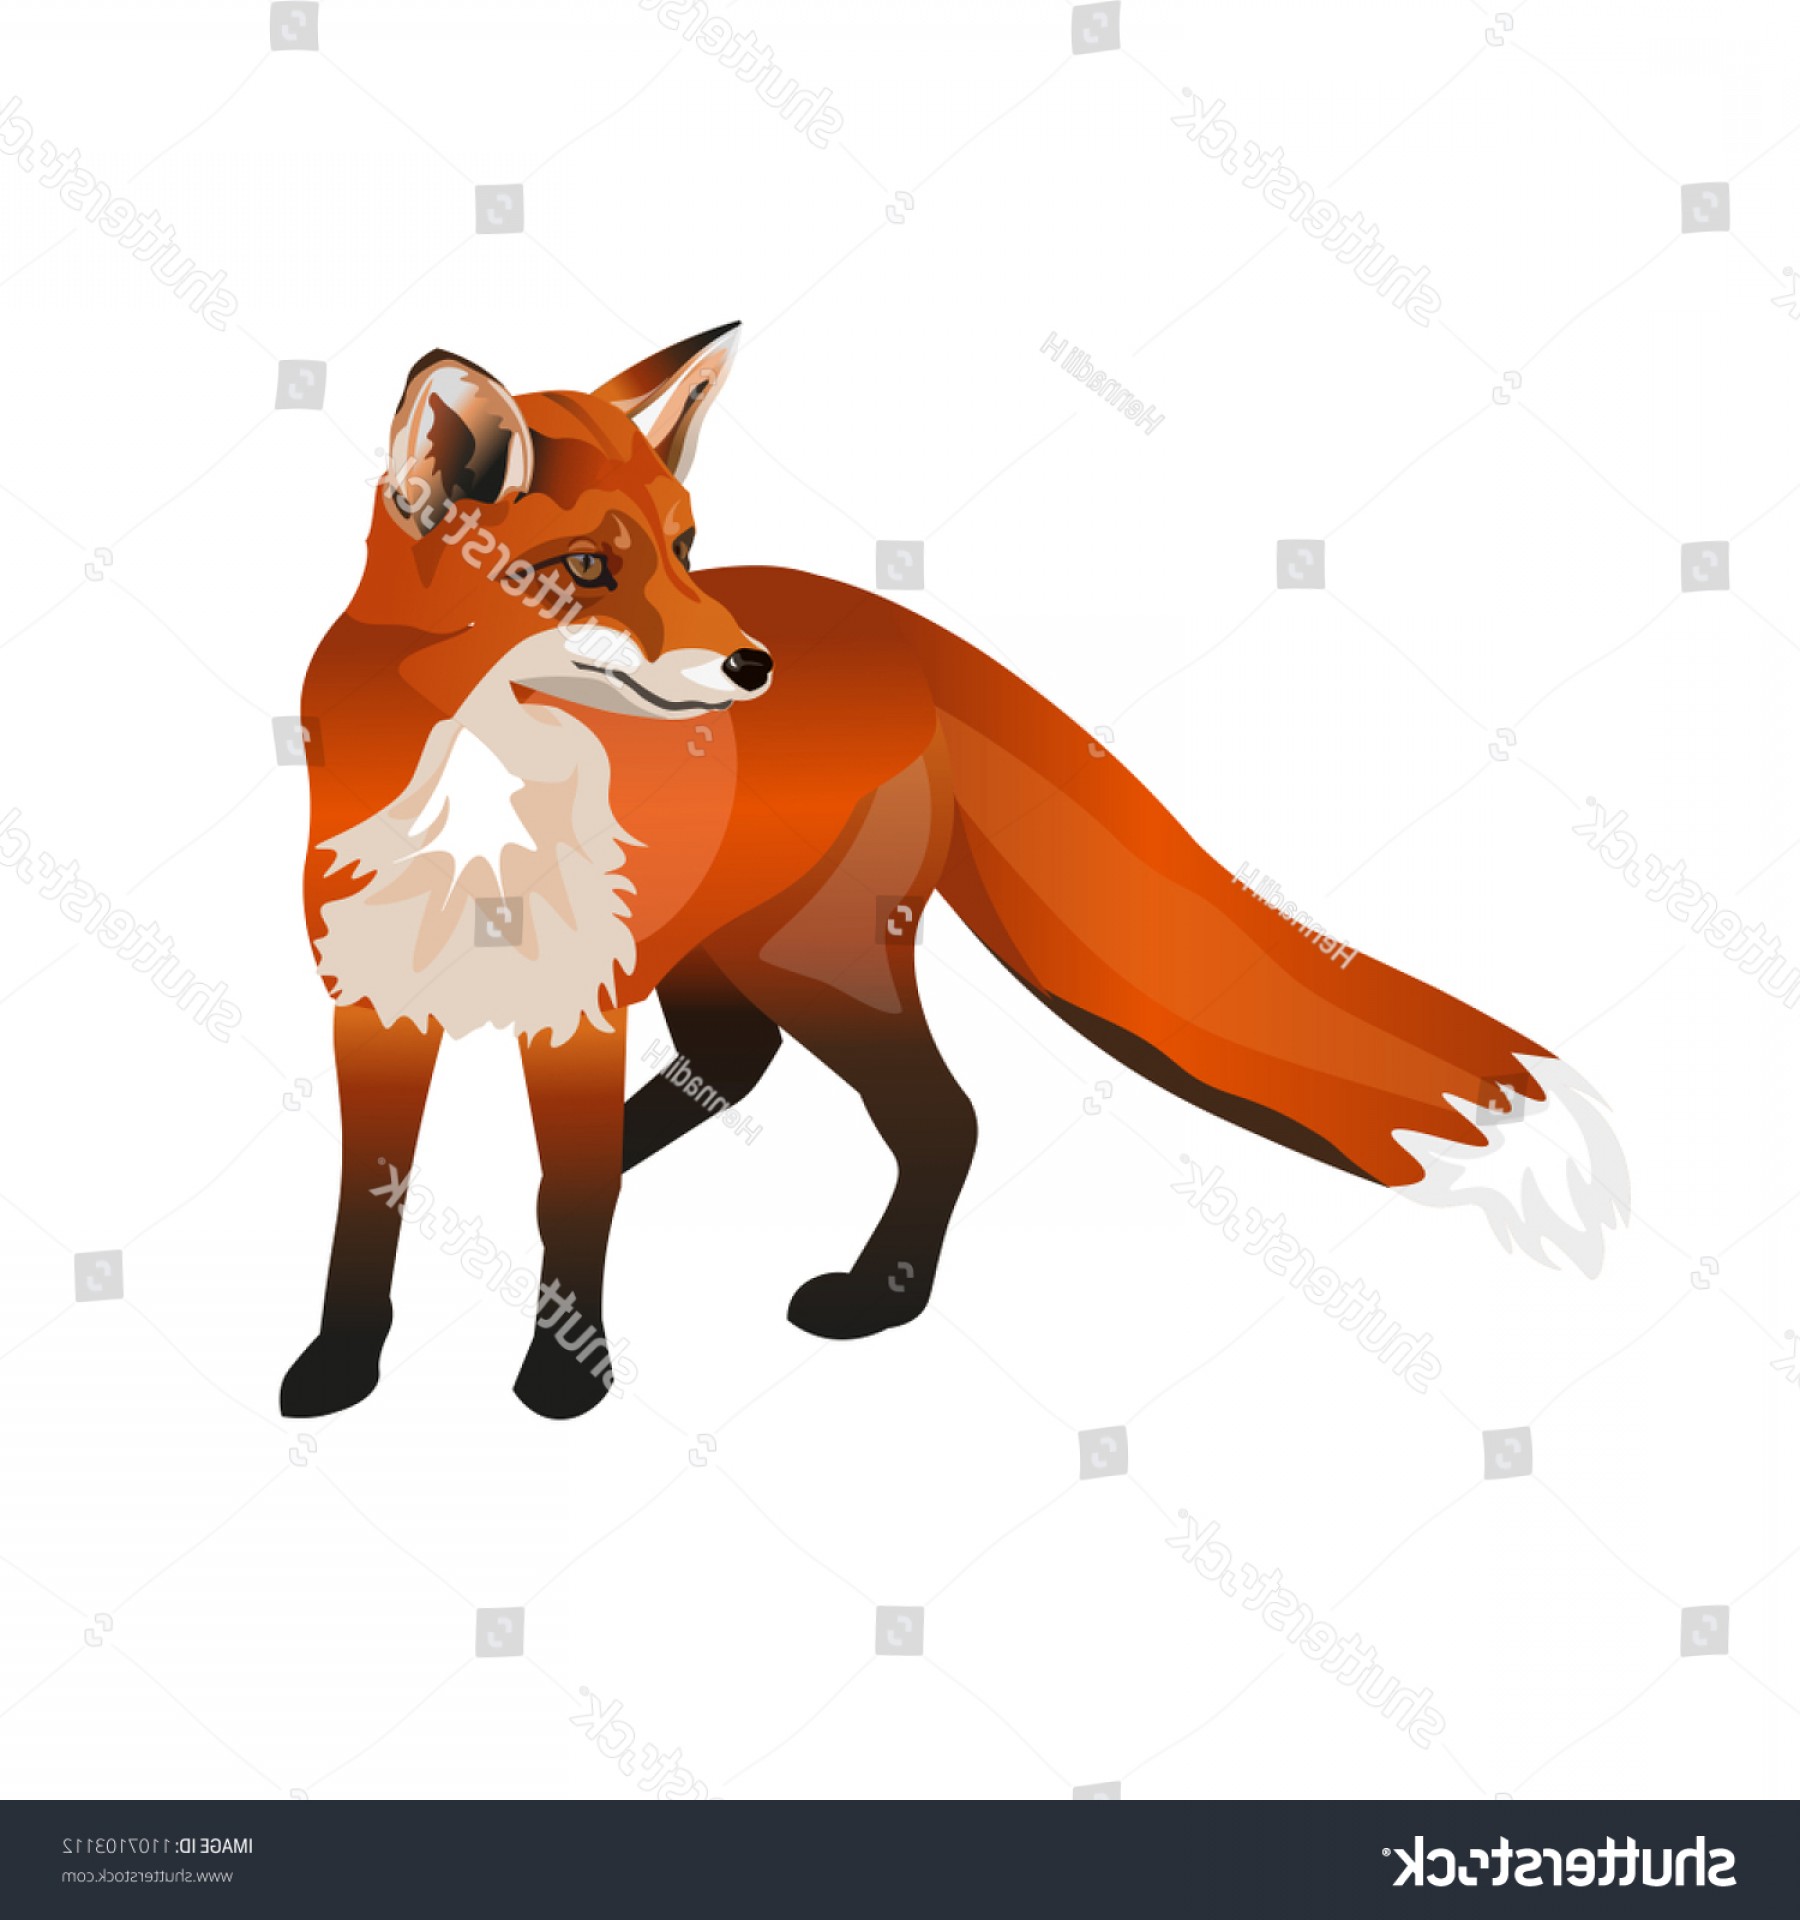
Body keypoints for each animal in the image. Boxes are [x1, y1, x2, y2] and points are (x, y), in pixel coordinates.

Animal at [281, 322, 1628, 1420]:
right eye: (587, 570)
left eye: (687, 549)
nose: (752, 667)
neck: (480, 816)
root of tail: (909, 630)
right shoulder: (372, 1002)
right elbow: (367, 1201)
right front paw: (340, 1365)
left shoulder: (579, 1004)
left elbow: (571, 1205)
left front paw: (567, 1377)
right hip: (732, 950)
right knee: (737, 1064)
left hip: (809, 959)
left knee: (940, 1116)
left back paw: (877, 1294)